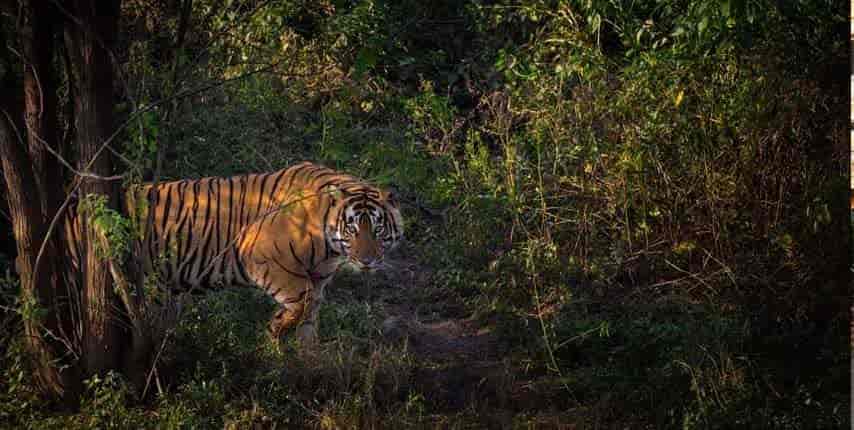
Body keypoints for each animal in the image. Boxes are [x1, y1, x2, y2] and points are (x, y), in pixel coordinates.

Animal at [65, 161, 406, 346]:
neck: (330, 248)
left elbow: (310, 317)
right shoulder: (261, 255)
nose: (366, 260)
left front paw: (309, 361)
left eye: (377, 229)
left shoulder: (319, 277)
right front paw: (275, 330)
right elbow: (302, 302)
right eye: (352, 229)